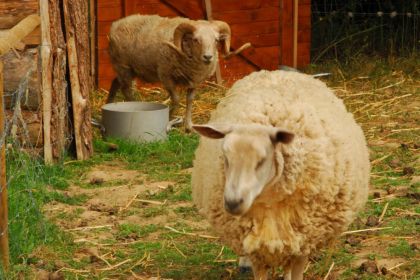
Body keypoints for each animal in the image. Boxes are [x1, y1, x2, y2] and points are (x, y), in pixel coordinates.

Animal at [106, 14, 249, 130]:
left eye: (216, 40)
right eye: (195, 40)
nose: (208, 57)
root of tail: (116, 23)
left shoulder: (195, 81)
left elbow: (190, 100)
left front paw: (189, 126)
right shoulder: (166, 76)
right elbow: (176, 100)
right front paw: (169, 118)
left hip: (129, 69)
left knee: (115, 82)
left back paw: (109, 102)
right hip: (123, 66)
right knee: (126, 90)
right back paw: (133, 105)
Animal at [192, 70, 370, 280]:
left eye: (261, 160)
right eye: (225, 157)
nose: (232, 203)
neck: (269, 201)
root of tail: (276, 72)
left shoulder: (303, 242)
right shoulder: (257, 250)